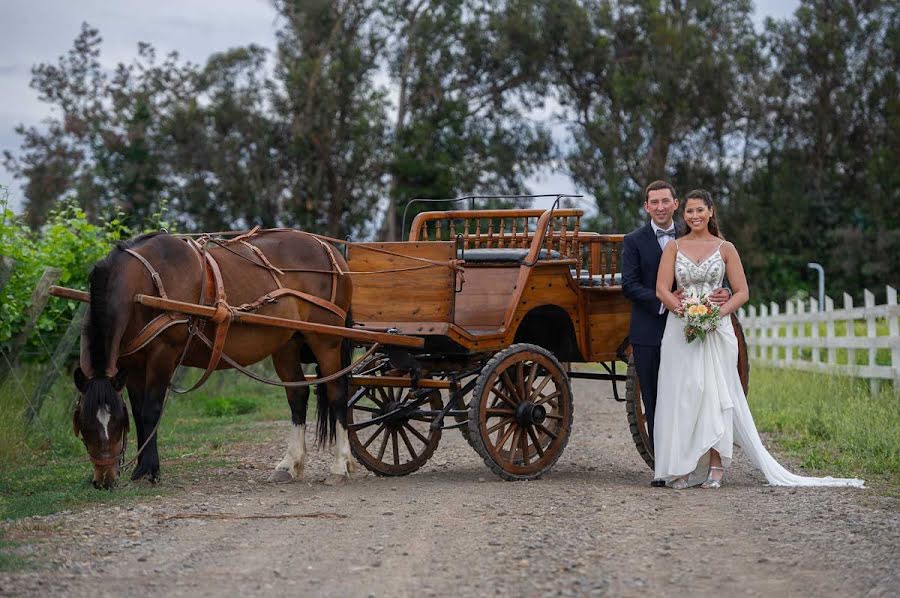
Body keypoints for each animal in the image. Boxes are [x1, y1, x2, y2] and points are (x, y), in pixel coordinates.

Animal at [74, 232, 356, 490]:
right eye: (83, 426)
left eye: (115, 425)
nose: (103, 481)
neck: (144, 284)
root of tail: (329, 248)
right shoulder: (132, 362)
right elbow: (137, 411)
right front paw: (142, 468)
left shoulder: (163, 353)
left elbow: (150, 411)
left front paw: (149, 471)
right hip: (287, 343)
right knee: (297, 396)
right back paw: (289, 464)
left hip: (326, 340)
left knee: (337, 393)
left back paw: (340, 465)